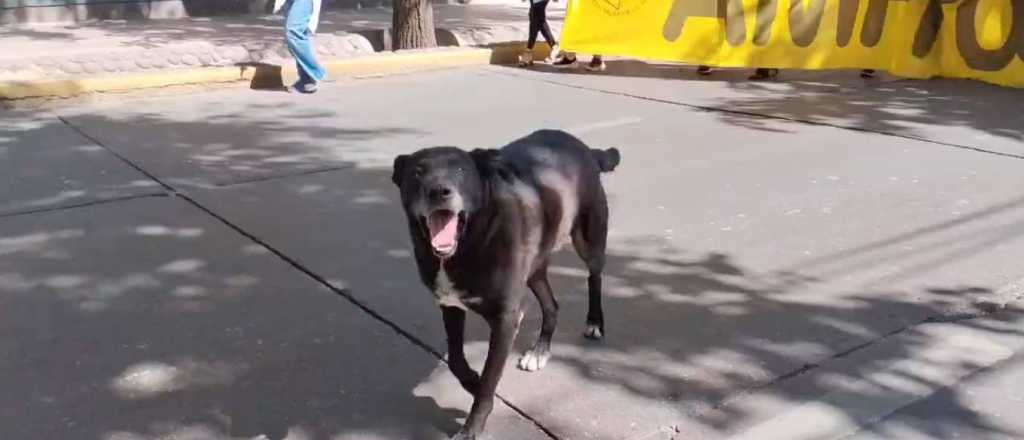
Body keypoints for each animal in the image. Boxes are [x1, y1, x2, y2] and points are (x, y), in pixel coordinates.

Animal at [389, 128, 614, 437]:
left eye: (461, 170)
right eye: (417, 172)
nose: (439, 191)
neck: (470, 240)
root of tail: (585, 149)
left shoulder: (506, 318)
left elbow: (488, 380)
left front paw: (471, 427)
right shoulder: (450, 305)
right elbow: (456, 359)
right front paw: (472, 381)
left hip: (588, 239)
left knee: (595, 276)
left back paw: (594, 322)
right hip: (534, 268)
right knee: (551, 305)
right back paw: (539, 352)